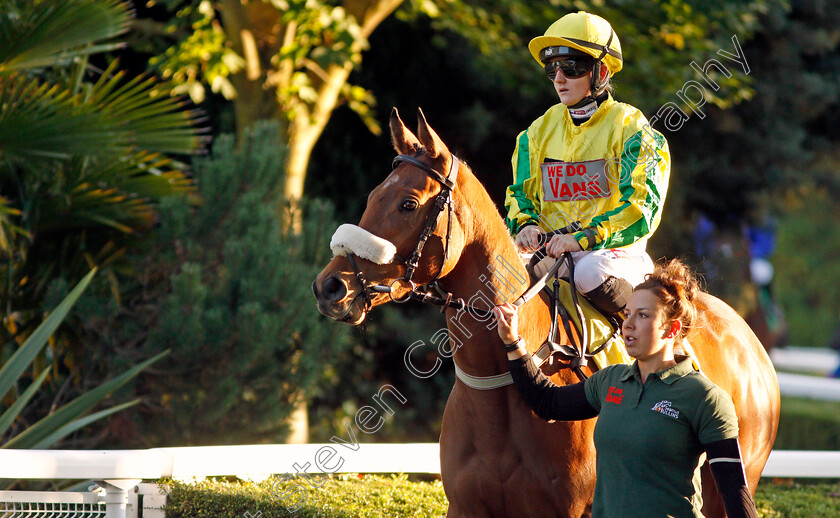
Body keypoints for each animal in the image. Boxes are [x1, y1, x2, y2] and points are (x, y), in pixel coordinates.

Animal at [314, 107, 780, 516]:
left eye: (408, 204)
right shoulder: (466, 508)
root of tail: (751, 341)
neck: (498, 392)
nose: (329, 286)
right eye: (373, 196)